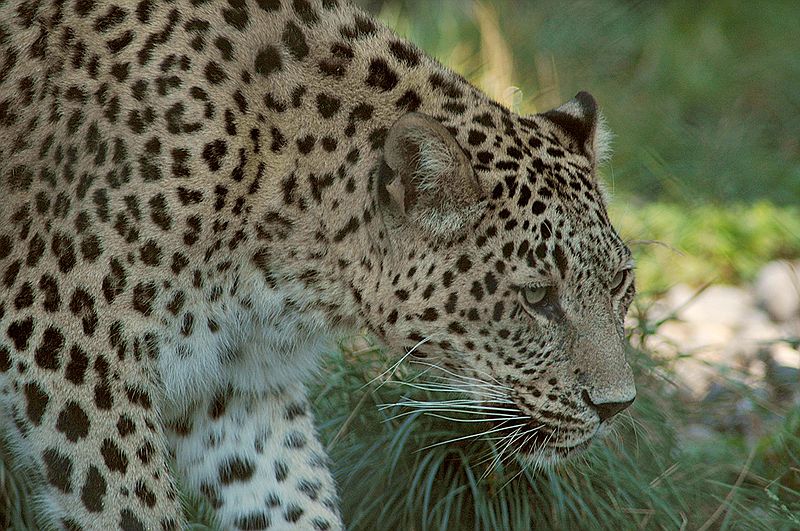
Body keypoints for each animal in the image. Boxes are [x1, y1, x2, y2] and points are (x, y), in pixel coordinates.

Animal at [0, 1, 636, 528]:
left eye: (620, 283)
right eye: (535, 298)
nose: (616, 407)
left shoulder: (237, 385)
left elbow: (288, 492)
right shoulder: (69, 353)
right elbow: (129, 506)